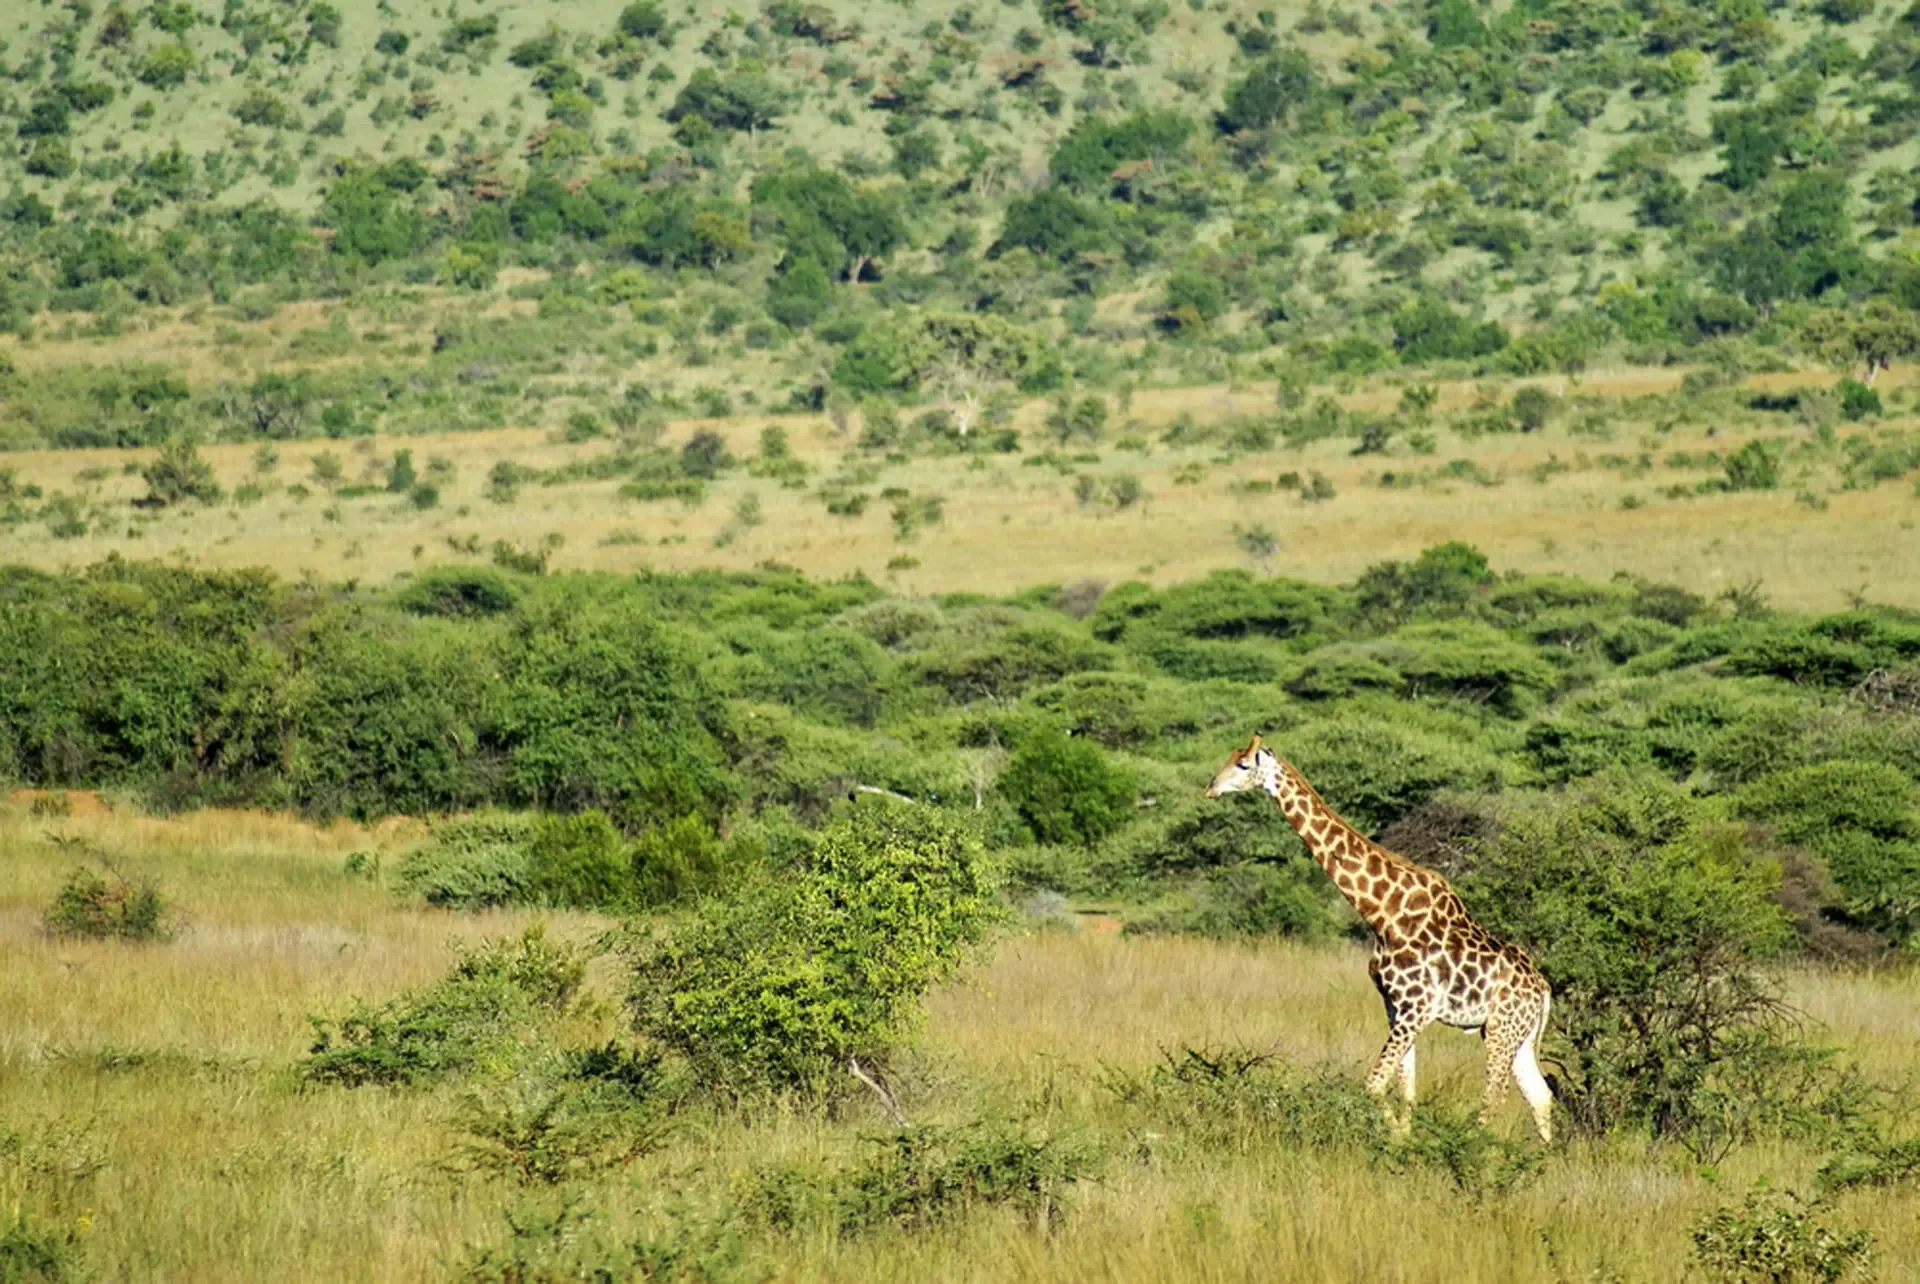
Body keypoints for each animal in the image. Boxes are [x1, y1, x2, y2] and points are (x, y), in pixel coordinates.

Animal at [1204, 733, 1555, 1142]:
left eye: (1243, 764)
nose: (1210, 788)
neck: (1382, 914)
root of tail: (1543, 990)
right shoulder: (1396, 1008)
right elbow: (1406, 1089)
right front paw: (1402, 1139)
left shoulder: (1417, 1008)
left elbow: (1373, 1085)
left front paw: (1395, 1140)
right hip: (1518, 1034)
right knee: (1540, 1094)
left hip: (1501, 1028)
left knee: (1494, 1097)